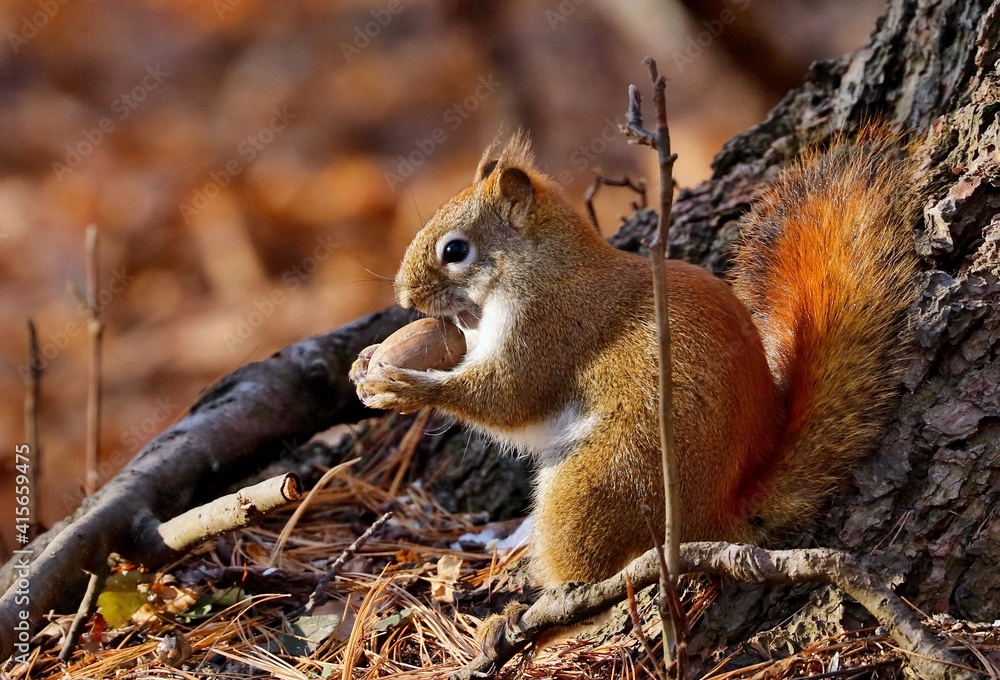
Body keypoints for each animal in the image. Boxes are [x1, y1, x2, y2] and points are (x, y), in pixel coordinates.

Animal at [351, 130, 919, 586]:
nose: (403, 296)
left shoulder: (549, 327)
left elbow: (508, 400)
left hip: (600, 482)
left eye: (455, 251)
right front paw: (364, 361)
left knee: (590, 574)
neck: (540, 267)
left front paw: (403, 387)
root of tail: (720, 514)